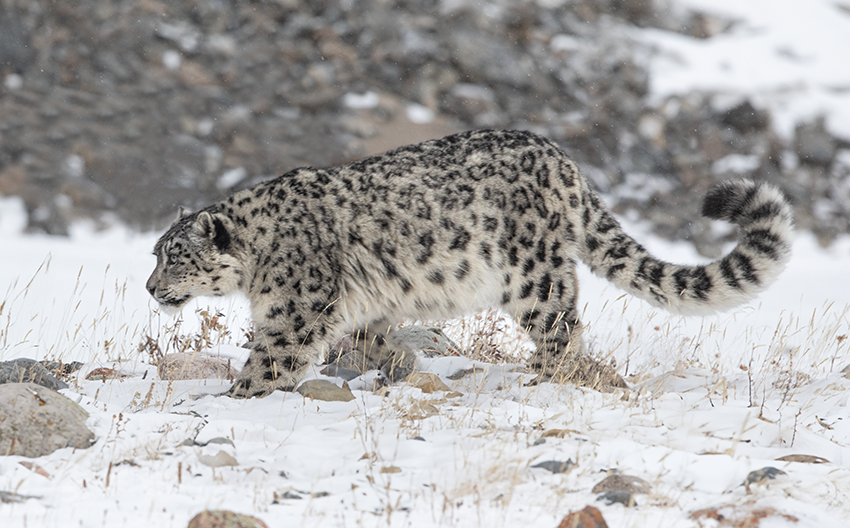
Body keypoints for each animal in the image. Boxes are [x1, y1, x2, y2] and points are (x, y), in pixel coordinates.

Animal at [146, 129, 794, 398]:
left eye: (175, 257)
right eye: (156, 253)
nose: (151, 287)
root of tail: (562, 160)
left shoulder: (293, 314)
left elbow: (270, 362)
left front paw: (232, 400)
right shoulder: (364, 306)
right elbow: (373, 339)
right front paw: (394, 364)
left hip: (533, 276)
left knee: (562, 331)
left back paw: (540, 379)